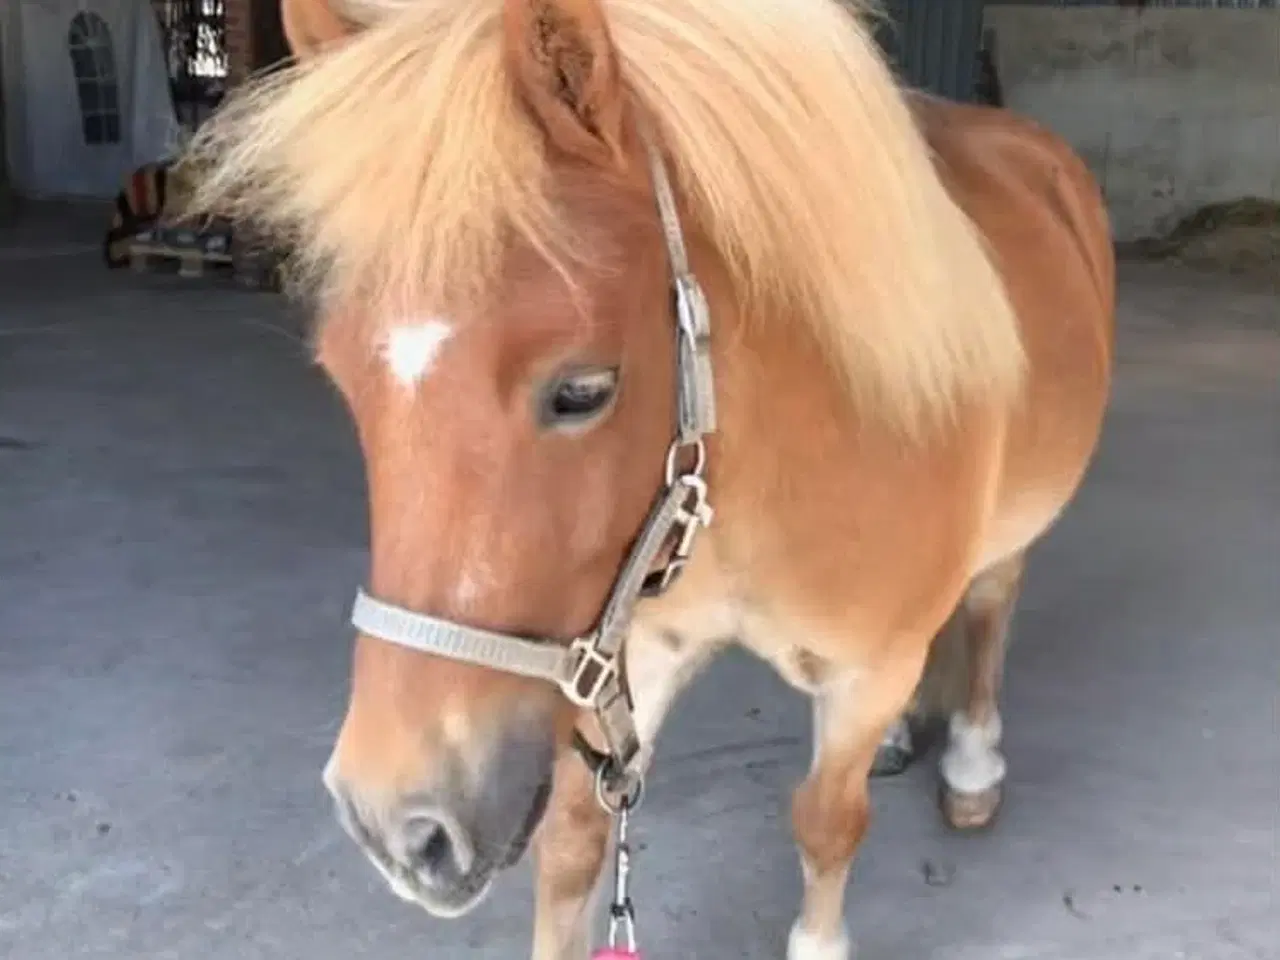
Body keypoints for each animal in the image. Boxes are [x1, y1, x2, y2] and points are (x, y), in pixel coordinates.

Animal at [184, 0, 1115, 954]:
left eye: (582, 391)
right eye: (344, 383)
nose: (398, 827)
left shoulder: (866, 671)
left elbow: (826, 823)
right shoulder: (631, 650)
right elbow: (576, 843)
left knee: (991, 604)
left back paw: (972, 766)